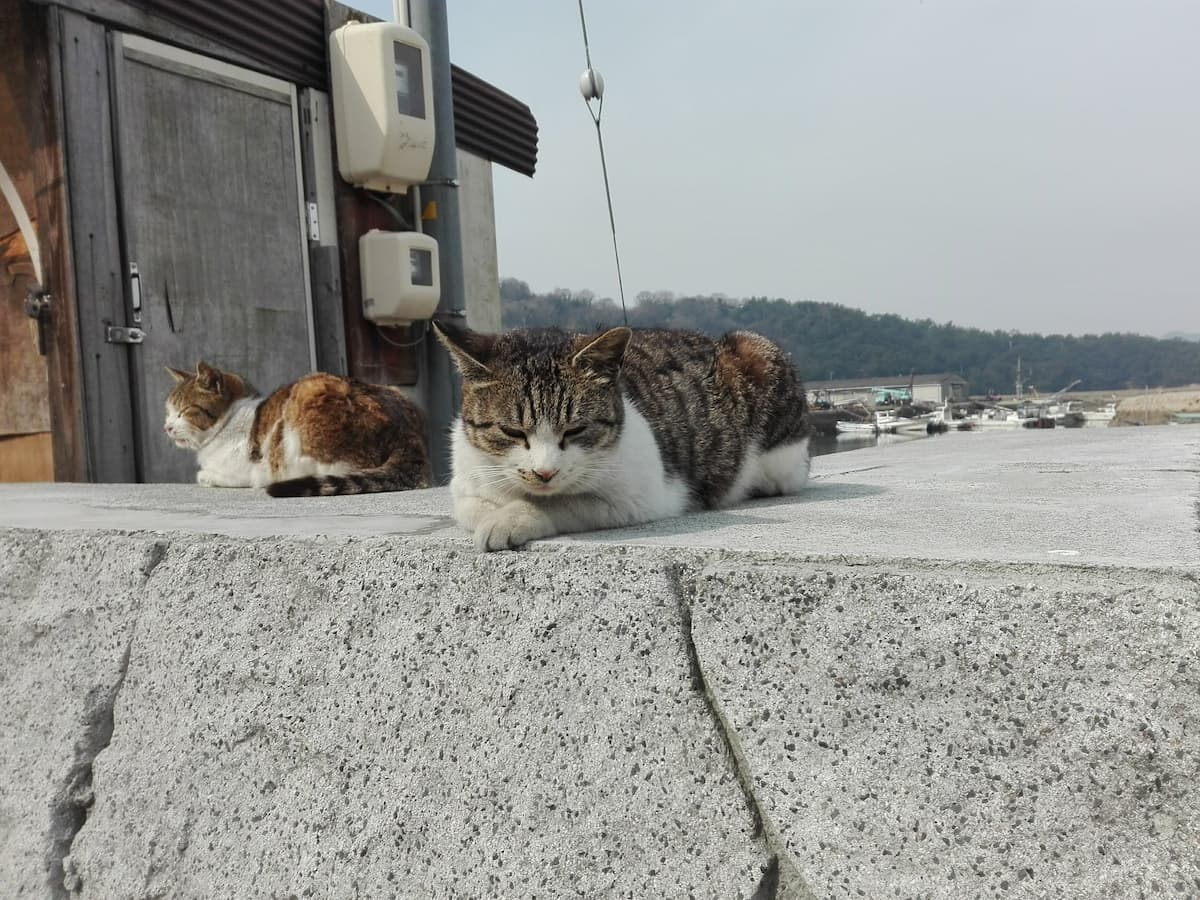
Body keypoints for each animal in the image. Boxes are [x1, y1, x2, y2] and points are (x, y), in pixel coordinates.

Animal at [164, 362, 432, 501]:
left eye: (184, 411)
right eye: (168, 411)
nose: (167, 427)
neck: (229, 420)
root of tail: (407, 432)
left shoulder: (240, 468)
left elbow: (208, 475)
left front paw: (205, 475)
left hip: (309, 393)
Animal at [427, 321, 811, 554]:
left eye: (575, 430)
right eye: (512, 431)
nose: (544, 473)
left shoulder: (640, 496)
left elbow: (559, 503)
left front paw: (511, 518)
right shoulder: (466, 483)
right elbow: (474, 507)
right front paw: (498, 512)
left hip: (761, 367)